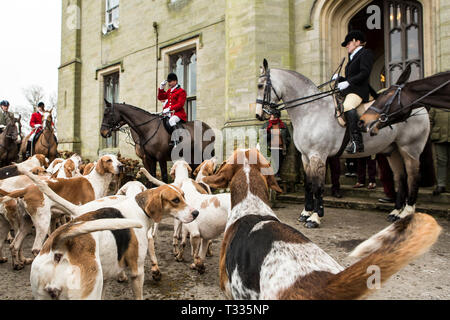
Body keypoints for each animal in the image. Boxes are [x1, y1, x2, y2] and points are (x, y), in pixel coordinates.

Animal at [256, 59, 432, 228]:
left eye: (260, 86)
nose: (259, 115)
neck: (311, 111)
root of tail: (419, 106)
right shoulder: (305, 157)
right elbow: (308, 185)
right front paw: (306, 212)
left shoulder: (318, 156)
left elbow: (318, 187)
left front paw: (315, 217)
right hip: (393, 150)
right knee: (400, 178)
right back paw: (395, 212)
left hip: (410, 149)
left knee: (413, 177)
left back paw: (406, 213)